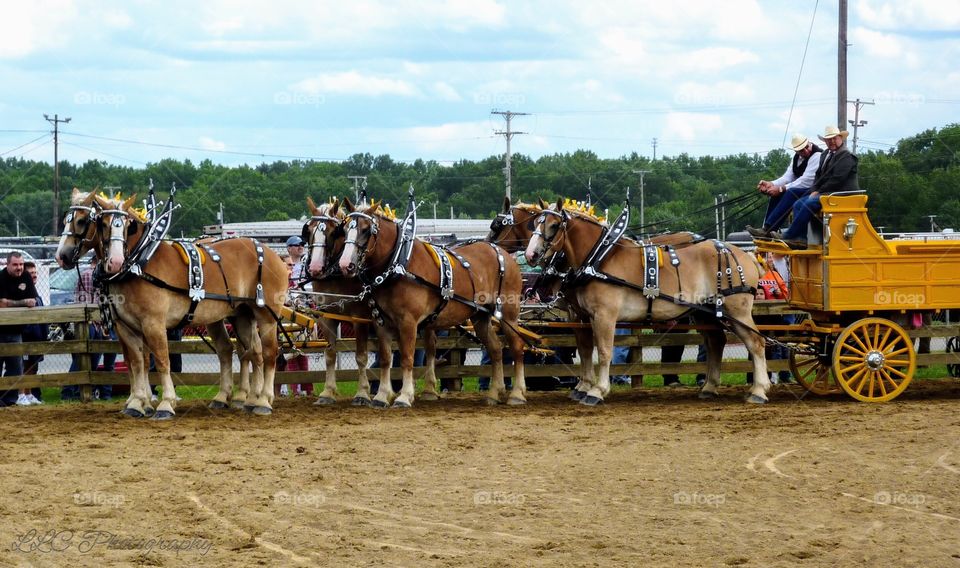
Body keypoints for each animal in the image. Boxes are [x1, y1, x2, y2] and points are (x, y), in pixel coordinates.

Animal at [54, 191, 286, 418]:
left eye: (83, 221)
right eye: (102, 223)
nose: (62, 256)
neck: (139, 261)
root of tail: (273, 254)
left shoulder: (153, 323)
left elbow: (161, 360)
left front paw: (165, 403)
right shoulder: (126, 326)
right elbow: (137, 362)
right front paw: (138, 403)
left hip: (266, 315)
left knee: (268, 353)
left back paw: (263, 400)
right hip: (238, 315)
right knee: (243, 351)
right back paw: (239, 398)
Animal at [338, 200, 528, 408]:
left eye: (365, 230)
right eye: (345, 229)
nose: (345, 264)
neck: (399, 262)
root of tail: (502, 252)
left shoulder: (408, 322)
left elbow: (407, 358)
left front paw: (404, 396)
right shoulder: (381, 322)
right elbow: (386, 359)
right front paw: (381, 396)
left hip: (508, 314)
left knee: (517, 347)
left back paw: (517, 394)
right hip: (481, 316)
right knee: (496, 349)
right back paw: (494, 393)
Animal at [528, 197, 768, 406]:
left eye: (554, 225)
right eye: (535, 223)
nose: (531, 255)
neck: (599, 258)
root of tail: (747, 255)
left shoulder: (605, 315)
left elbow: (604, 351)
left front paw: (597, 391)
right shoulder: (584, 315)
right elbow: (586, 349)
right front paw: (584, 388)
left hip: (737, 310)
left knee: (755, 342)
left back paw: (759, 390)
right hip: (705, 311)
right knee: (717, 342)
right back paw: (710, 388)